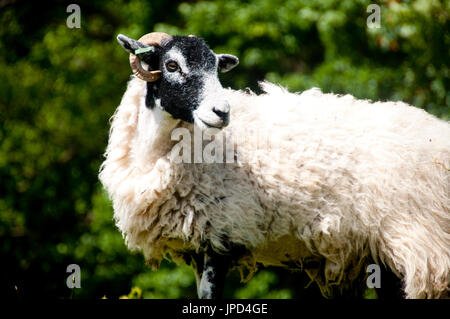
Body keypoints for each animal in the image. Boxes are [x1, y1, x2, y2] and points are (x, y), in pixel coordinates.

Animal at [99, 32, 450, 300]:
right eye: (171, 65)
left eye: (216, 69)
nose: (222, 112)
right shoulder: (202, 246)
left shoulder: (221, 237)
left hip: (418, 245)